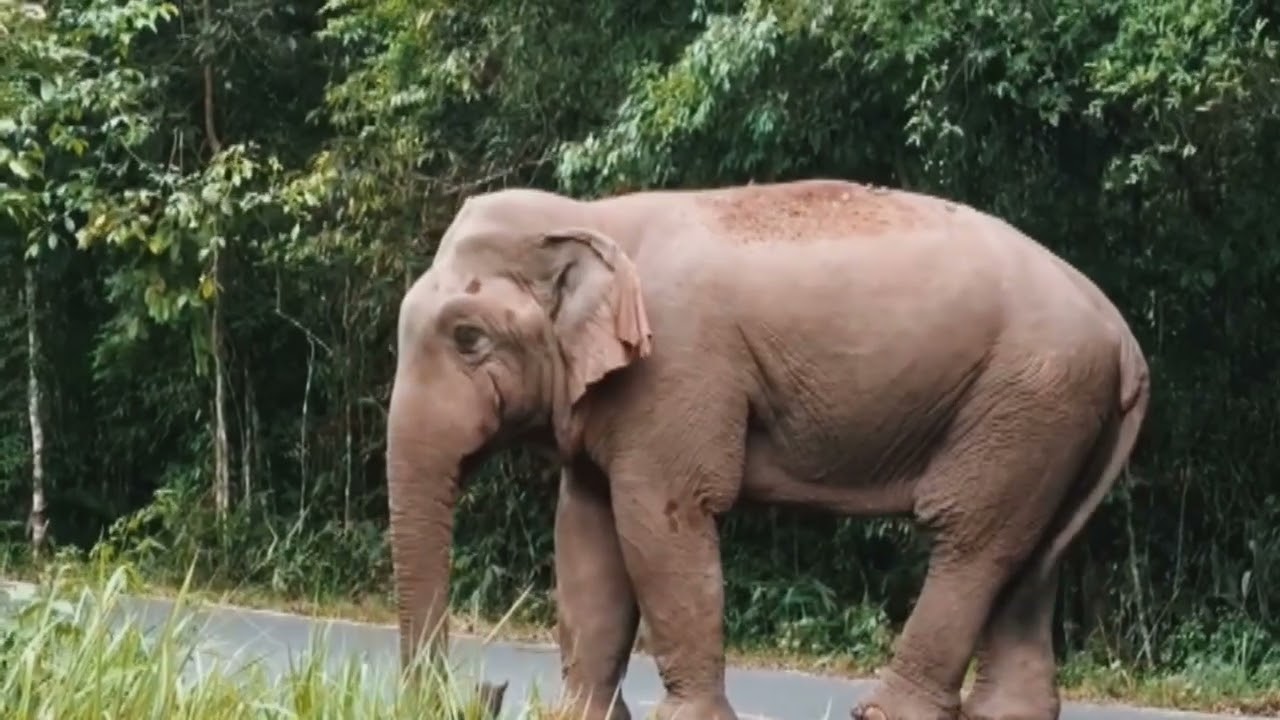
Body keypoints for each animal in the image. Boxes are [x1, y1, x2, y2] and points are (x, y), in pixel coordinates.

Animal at [385, 178, 1151, 720]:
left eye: (468, 338)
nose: (480, 690)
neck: (593, 217)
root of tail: (1124, 340)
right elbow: (586, 535)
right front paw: (577, 717)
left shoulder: (676, 370)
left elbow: (662, 516)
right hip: (1055, 419)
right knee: (1032, 558)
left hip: (1029, 394)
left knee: (971, 539)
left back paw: (882, 714)